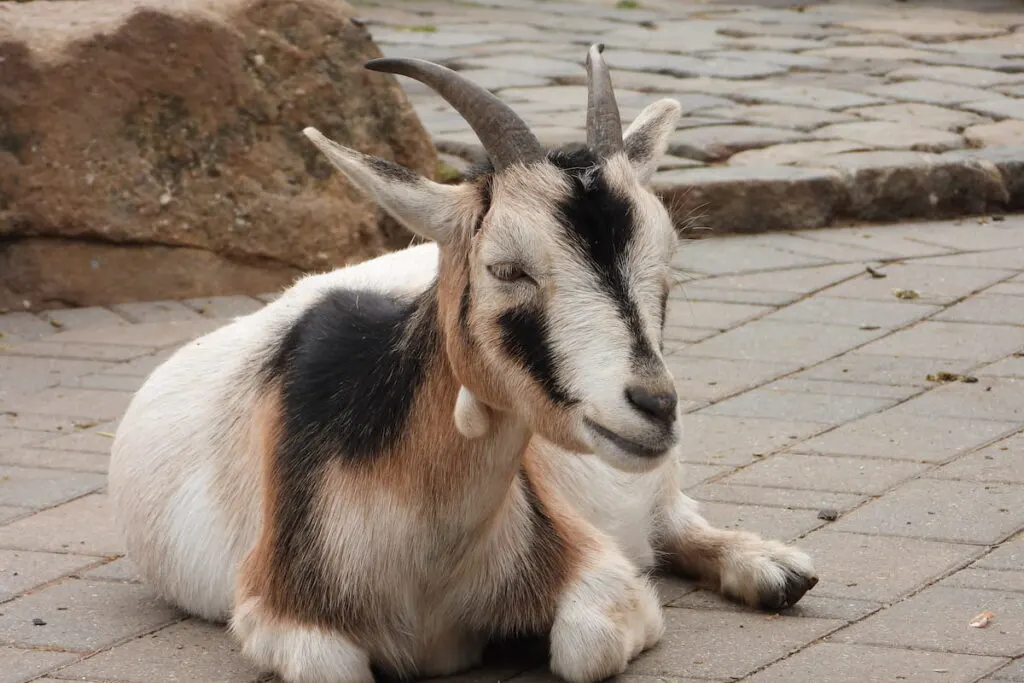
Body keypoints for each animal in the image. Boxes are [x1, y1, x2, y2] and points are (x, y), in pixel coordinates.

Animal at [110, 44, 815, 683]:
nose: (655, 406)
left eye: (667, 261)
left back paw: (774, 570)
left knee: (675, 519)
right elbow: (329, 668)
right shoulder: (276, 603)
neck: (428, 561)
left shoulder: (597, 566)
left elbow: (585, 648)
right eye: (506, 267)